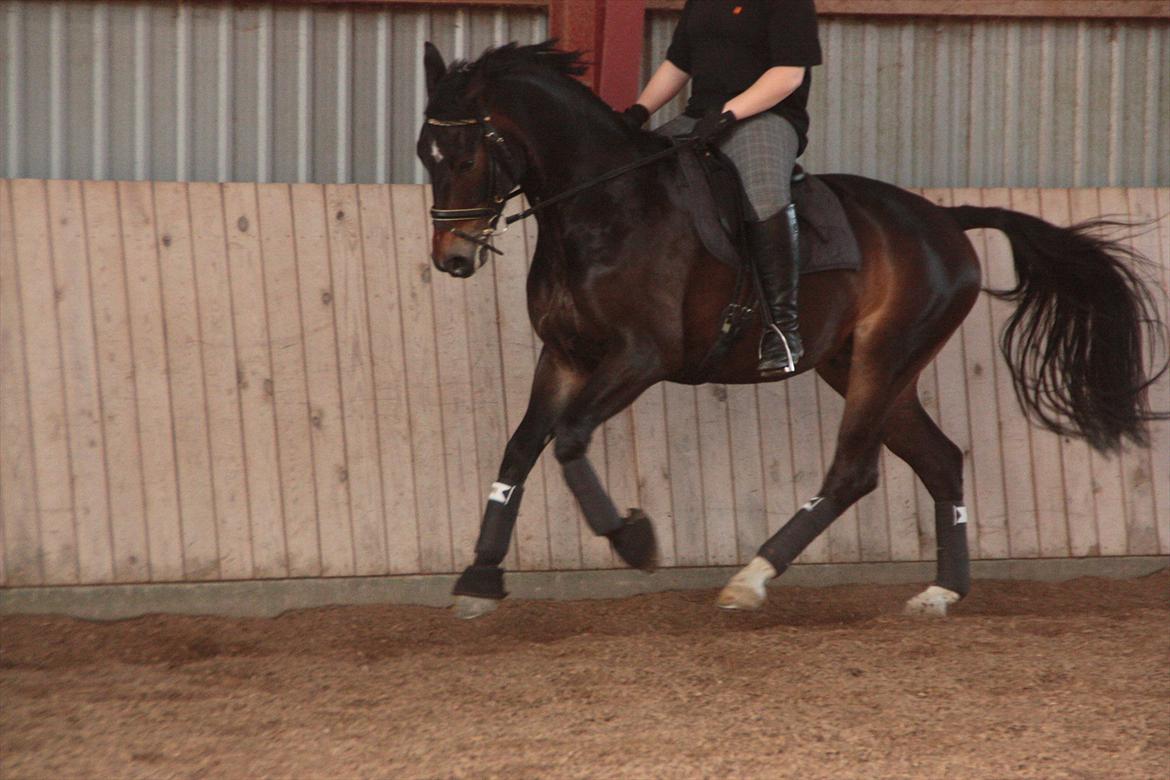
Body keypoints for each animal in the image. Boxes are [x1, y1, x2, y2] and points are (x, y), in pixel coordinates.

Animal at [416, 42, 1165, 617]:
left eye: (465, 154)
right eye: (426, 153)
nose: (452, 258)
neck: (604, 205)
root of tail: (946, 219)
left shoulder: (641, 357)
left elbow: (569, 439)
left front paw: (633, 540)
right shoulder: (566, 355)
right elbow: (520, 449)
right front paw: (479, 579)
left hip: (884, 361)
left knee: (853, 472)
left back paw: (751, 579)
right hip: (865, 367)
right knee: (940, 460)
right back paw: (941, 593)